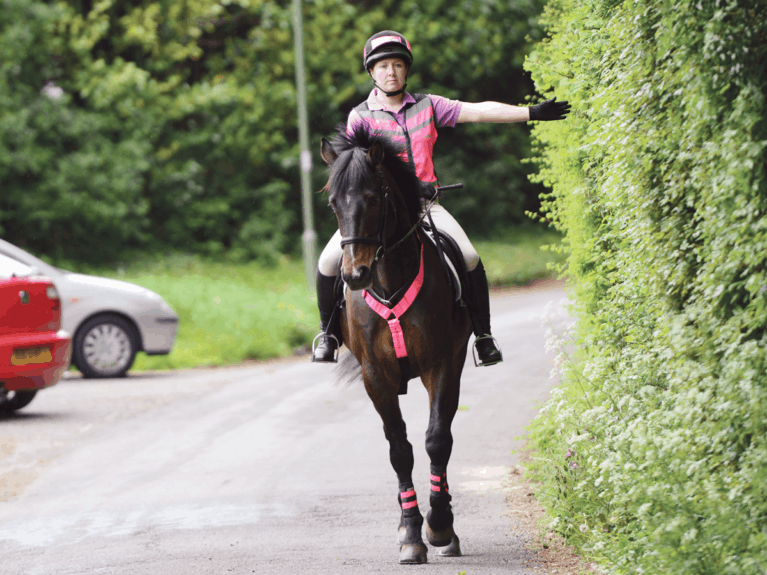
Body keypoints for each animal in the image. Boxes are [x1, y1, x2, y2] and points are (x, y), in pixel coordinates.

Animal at [320, 128, 474, 564]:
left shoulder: (441, 365)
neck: (389, 278)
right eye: (333, 202)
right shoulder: (376, 376)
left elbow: (437, 439)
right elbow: (399, 449)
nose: (355, 275)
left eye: (374, 198)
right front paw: (410, 533)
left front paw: (439, 525)